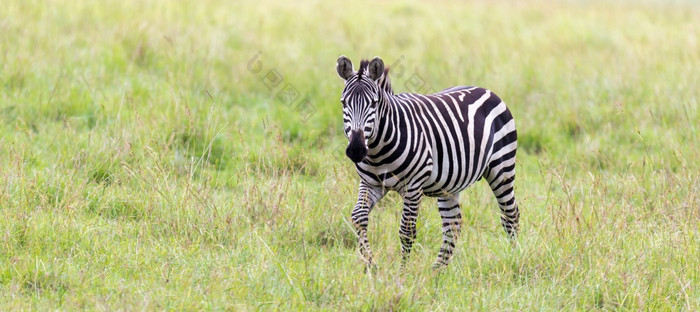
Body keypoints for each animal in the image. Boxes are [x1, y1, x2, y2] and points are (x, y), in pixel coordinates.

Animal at [336, 55, 524, 268]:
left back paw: (514, 258)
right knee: (453, 224)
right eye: (344, 103)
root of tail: (485, 89)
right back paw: (437, 270)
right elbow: (358, 217)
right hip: (449, 183)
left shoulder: (413, 187)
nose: (356, 149)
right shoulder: (370, 184)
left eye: (374, 104)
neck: (378, 152)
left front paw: (403, 272)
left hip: (502, 169)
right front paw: (370, 264)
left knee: (510, 215)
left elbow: (406, 231)